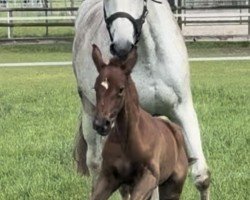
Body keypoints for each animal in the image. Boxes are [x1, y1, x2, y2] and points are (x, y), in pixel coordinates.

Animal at [91, 44, 188, 199]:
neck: (127, 140)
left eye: (121, 89)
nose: (101, 124)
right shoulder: (108, 177)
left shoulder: (149, 176)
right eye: (95, 87)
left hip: (173, 187)